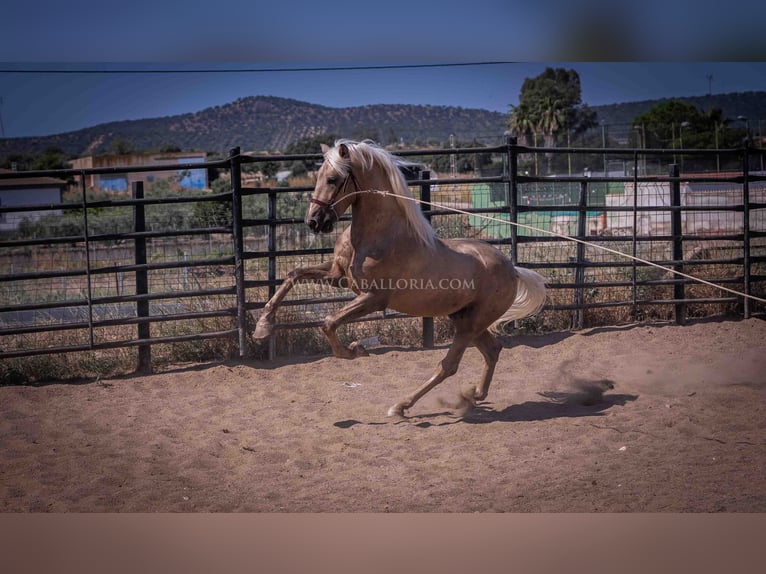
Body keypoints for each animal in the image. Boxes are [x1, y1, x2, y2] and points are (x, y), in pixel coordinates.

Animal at [255, 140, 548, 418]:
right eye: (318, 176)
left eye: (333, 179)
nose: (313, 222)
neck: (378, 237)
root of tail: (513, 269)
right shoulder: (339, 276)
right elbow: (294, 275)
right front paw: (263, 327)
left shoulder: (373, 298)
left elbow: (328, 322)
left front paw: (356, 350)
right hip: (463, 318)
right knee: (492, 350)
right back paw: (474, 395)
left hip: (470, 324)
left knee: (449, 365)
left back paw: (402, 405)